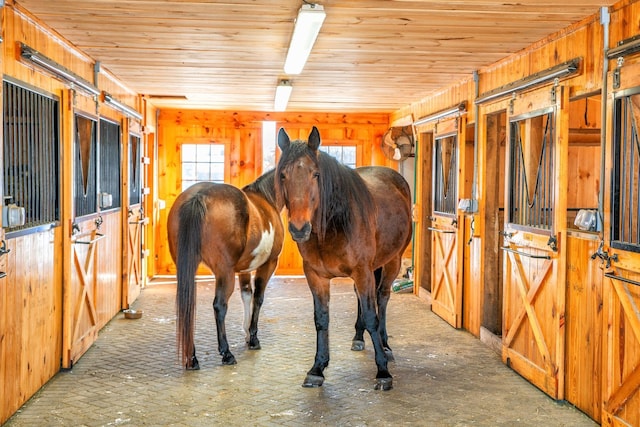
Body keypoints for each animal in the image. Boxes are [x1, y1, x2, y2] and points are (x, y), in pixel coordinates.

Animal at [168, 171, 282, 372]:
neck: (266, 199)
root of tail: (198, 196)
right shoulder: (268, 264)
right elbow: (258, 298)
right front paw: (253, 338)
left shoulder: (244, 268)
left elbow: (247, 295)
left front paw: (247, 335)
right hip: (225, 273)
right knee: (219, 306)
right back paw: (227, 354)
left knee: (187, 306)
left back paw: (192, 358)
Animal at [278, 126, 412, 392]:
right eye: (283, 175)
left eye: (316, 174)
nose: (299, 228)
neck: (333, 226)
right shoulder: (317, 277)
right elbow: (321, 319)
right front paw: (317, 369)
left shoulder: (362, 271)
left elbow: (372, 316)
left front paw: (383, 371)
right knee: (361, 298)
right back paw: (359, 337)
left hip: (392, 261)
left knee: (382, 299)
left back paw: (385, 345)